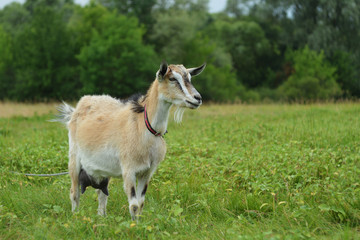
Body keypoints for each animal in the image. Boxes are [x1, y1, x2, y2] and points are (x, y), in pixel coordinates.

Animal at [53, 61, 205, 220]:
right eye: (172, 79)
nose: (197, 98)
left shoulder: (147, 172)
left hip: (103, 170)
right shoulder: (129, 169)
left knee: (102, 194)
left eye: (190, 78)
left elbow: (141, 202)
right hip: (74, 159)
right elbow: (134, 205)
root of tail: (78, 107)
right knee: (74, 193)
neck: (144, 127)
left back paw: (101, 217)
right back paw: (75, 216)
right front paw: (133, 224)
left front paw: (139, 222)